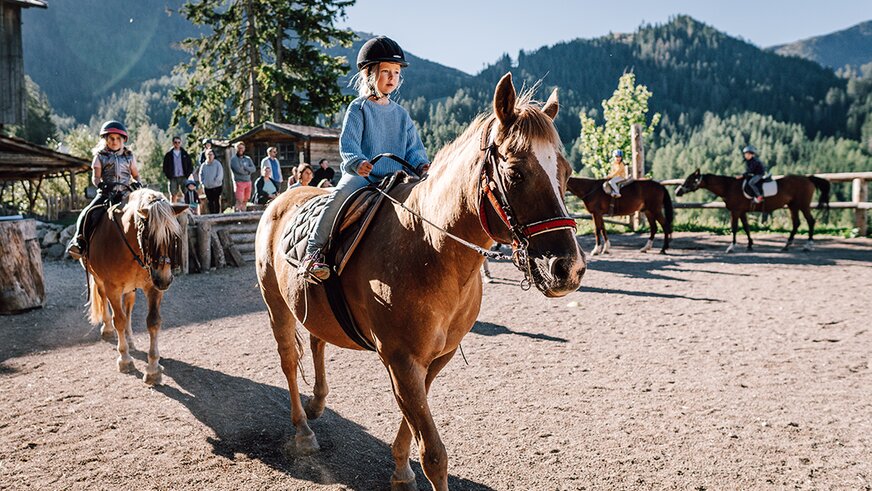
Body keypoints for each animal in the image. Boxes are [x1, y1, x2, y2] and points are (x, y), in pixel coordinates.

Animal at [84, 188, 186, 384]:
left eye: (174, 237)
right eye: (148, 237)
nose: (164, 280)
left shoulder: (153, 288)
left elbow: (153, 322)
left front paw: (153, 368)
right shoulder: (113, 288)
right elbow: (119, 320)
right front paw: (124, 359)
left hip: (131, 288)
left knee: (128, 307)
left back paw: (130, 339)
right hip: (99, 280)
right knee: (104, 300)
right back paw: (108, 330)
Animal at [255, 74, 588, 491]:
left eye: (566, 172)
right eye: (515, 173)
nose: (568, 268)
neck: (429, 247)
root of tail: (281, 200)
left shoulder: (434, 358)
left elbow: (411, 420)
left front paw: (400, 468)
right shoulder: (401, 359)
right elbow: (433, 453)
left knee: (317, 340)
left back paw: (317, 403)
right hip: (276, 306)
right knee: (288, 359)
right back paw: (302, 430)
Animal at [676, 170, 832, 254]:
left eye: (690, 179)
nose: (678, 191)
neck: (728, 187)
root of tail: (808, 178)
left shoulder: (735, 211)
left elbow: (734, 228)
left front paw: (731, 247)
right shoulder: (742, 212)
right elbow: (746, 227)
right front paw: (750, 244)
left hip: (803, 205)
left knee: (810, 221)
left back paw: (808, 245)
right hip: (793, 206)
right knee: (796, 224)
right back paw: (786, 246)